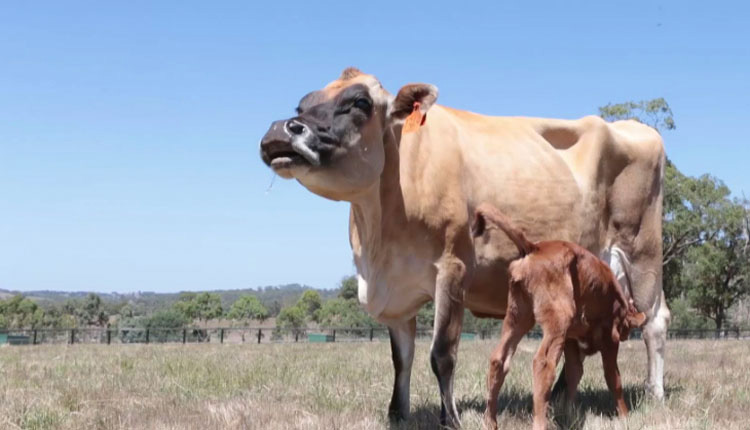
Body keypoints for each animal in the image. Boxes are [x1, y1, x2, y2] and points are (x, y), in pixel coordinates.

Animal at [476, 204, 648, 430]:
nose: (627, 335)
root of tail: (534, 247)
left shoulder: (571, 342)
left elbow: (573, 375)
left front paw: (569, 412)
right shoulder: (609, 341)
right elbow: (613, 379)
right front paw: (625, 416)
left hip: (518, 317)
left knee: (499, 359)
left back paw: (490, 421)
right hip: (557, 322)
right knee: (543, 363)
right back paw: (539, 423)